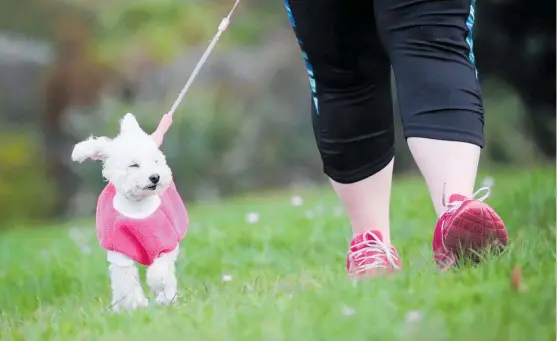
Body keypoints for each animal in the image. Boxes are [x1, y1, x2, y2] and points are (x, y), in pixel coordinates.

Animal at [71, 113, 189, 310]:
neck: (138, 207)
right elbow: (125, 281)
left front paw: (158, 289)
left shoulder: (167, 242)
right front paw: (133, 305)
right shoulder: (120, 249)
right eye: (134, 165)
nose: (155, 177)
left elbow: (160, 272)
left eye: (155, 161)